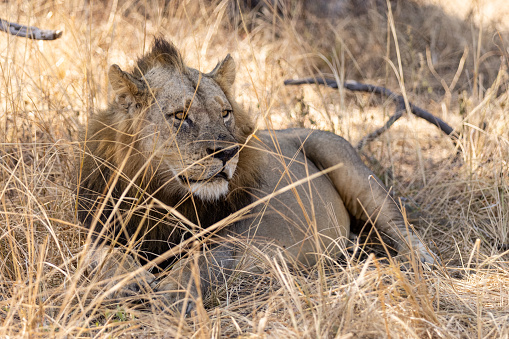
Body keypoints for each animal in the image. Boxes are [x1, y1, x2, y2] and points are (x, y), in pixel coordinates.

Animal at [77, 38, 434, 312]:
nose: (227, 153)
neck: (164, 196)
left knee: (402, 229)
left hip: (351, 171)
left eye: (225, 113)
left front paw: (172, 293)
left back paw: (415, 265)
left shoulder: (250, 240)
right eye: (180, 116)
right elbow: (99, 253)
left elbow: (204, 259)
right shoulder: (95, 225)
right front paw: (132, 280)